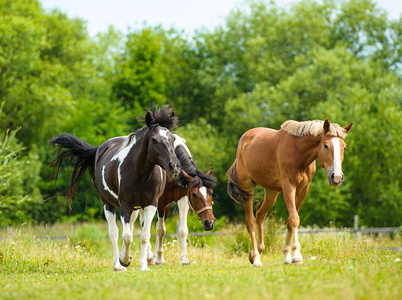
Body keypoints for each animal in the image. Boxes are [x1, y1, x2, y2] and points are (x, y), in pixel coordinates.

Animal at [49, 106, 181, 272]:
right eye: (154, 140)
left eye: (173, 139)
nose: (174, 166)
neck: (141, 173)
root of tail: (100, 149)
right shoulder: (125, 205)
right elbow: (126, 236)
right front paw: (124, 260)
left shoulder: (151, 204)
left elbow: (144, 235)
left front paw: (143, 265)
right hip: (108, 204)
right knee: (114, 233)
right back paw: (118, 265)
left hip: (135, 208)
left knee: (131, 227)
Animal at [228, 119, 354, 264]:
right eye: (325, 145)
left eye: (344, 147)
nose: (337, 177)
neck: (298, 152)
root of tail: (244, 140)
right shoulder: (289, 187)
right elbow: (294, 219)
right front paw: (297, 255)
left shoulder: (303, 189)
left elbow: (290, 220)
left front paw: (288, 255)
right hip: (247, 187)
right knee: (250, 222)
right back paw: (256, 258)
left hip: (271, 191)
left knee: (260, 213)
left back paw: (257, 251)